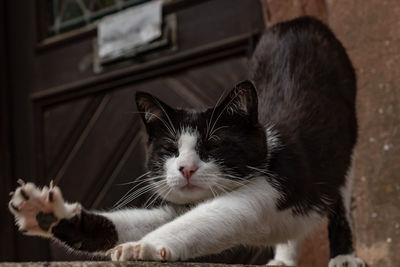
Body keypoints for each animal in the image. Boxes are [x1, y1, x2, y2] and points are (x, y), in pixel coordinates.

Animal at [8, 17, 366, 267]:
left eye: (212, 146)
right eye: (169, 150)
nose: (186, 169)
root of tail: (297, 21)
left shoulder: (272, 182)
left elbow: (205, 219)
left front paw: (142, 246)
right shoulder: (180, 199)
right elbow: (144, 220)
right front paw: (47, 214)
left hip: (346, 134)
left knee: (341, 193)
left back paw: (344, 255)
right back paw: (283, 258)